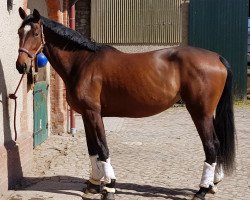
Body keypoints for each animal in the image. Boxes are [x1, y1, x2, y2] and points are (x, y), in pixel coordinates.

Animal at [16, 7, 235, 200]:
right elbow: (92, 149)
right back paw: (212, 184)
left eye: (35, 33)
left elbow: (102, 148)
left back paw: (202, 190)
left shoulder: (94, 113)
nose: (21, 65)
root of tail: (217, 58)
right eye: (19, 32)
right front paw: (94, 184)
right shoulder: (86, 114)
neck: (82, 62)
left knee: (211, 145)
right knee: (217, 143)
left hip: (200, 112)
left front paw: (109, 187)